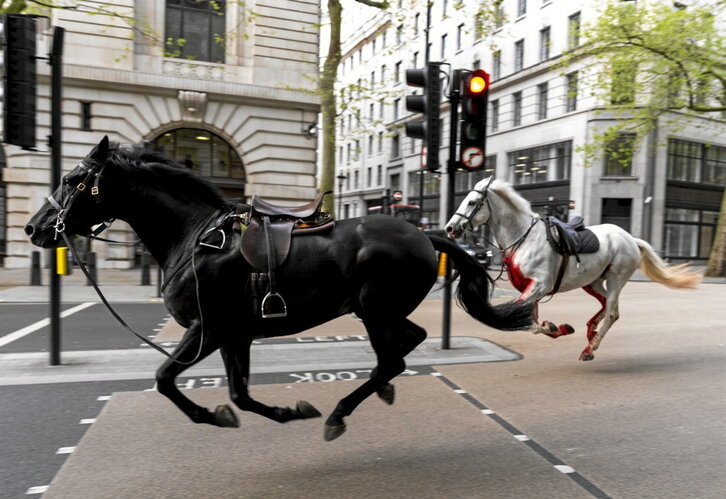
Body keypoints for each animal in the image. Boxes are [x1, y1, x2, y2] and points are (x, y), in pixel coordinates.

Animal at [25, 137, 533, 441]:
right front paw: (285, 411)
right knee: (408, 344)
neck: (194, 238)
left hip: (374, 310)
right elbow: (239, 395)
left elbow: (166, 378)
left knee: (393, 357)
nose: (34, 228)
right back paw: (378, 391)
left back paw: (340, 412)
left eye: (71, 180)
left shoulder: (207, 329)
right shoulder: (234, 335)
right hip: (380, 310)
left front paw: (210, 415)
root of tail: (424, 234)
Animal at [445, 176, 700, 361]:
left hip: (616, 279)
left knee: (612, 312)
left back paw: (590, 348)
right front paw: (557, 327)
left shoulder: (539, 286)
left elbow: (528, 322)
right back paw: (591, 332)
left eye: (471, 202)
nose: (450, 228)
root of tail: (630, 238)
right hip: (593, 281)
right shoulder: (531, 288)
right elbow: (532, 321)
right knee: (605, 305)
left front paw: (555, 327)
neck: (523, 238)